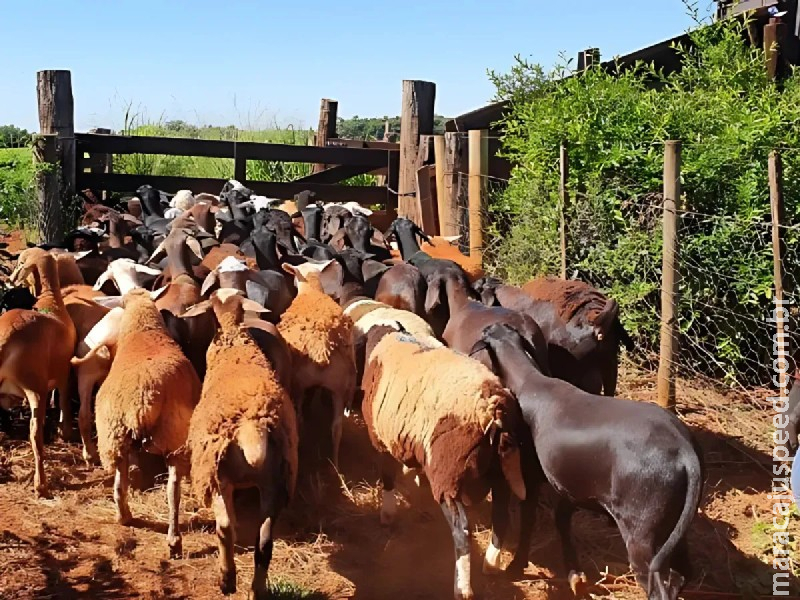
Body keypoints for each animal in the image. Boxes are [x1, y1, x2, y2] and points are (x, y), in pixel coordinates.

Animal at [0, 248, 77, 496]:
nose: (11, 278)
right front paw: (65, 432)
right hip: (35, 387)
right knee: (35, 434)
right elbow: (63, 401)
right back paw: (40, 484)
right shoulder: (63, 373)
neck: (50, 300)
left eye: (20, 263)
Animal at [280, 260, 358, 466]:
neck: (312, 291)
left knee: (299, 420)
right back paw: (335, 465)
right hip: (340, 387)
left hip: (298, 386)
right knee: (336, 428)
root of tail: (321, 343)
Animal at [360, 324, 524, 600]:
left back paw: (462, 588)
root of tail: (492, 409)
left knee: (462, 531)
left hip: (448, 475)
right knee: (501, 516)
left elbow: (388, 477)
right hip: (502, 471)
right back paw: (491, 564)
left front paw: (387, 513)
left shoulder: (381, 438)